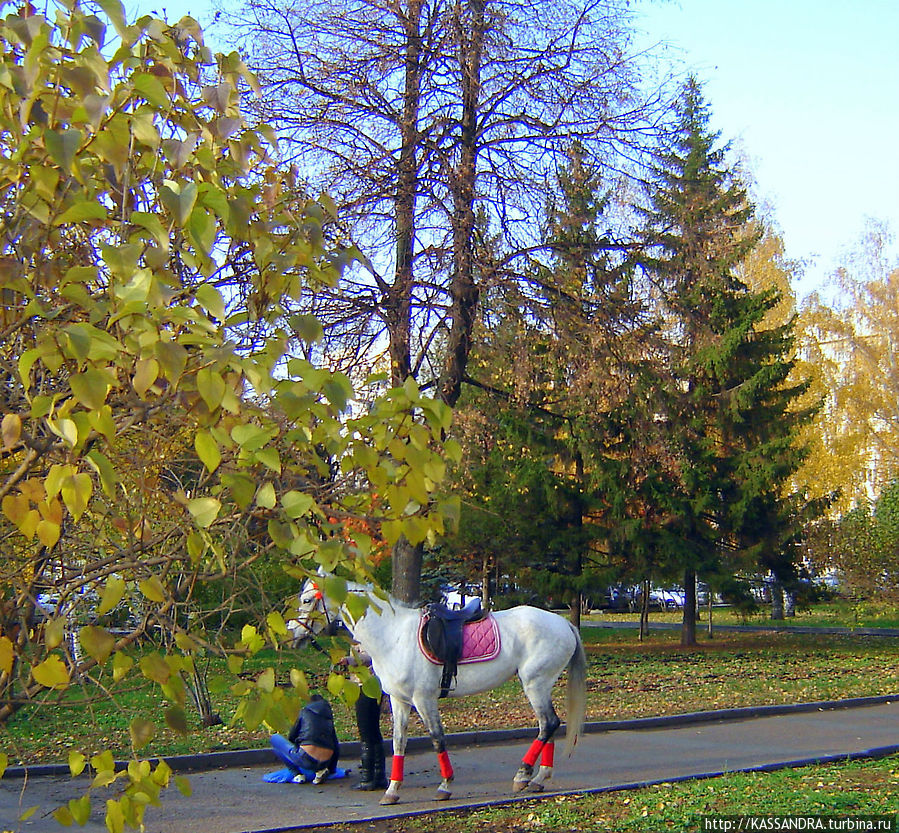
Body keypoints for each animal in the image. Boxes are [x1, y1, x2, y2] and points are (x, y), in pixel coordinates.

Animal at [296, 576, 588, 804]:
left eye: (308, 600)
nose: (293, 633)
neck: (393, 635)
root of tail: (564, 624)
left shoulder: (423, 699)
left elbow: (437, 738)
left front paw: (445, 786)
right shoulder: (399, 701)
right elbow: (398, 742)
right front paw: (392, 791)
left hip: (534, 683)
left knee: (548, 723)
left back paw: (523, 775)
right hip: (541, 684)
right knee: (548, 725)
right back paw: (538, 778)